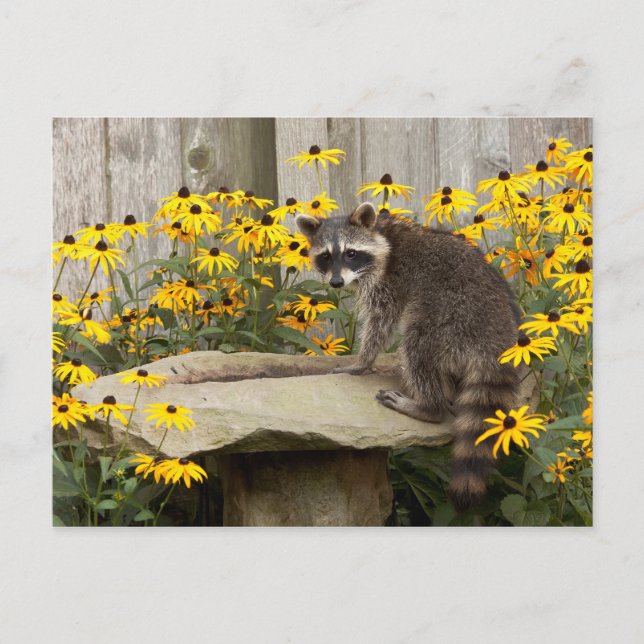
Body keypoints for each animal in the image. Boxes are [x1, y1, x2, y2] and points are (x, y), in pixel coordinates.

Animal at [296, 203, 521, 511]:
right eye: (326, 256)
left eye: (351, 253)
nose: (337, 282)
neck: (380, 234)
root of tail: (497, 339)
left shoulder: (389, 281)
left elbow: (381, 322)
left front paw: (362, 361)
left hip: (451, 315)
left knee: (417, 346)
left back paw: (427, 406)